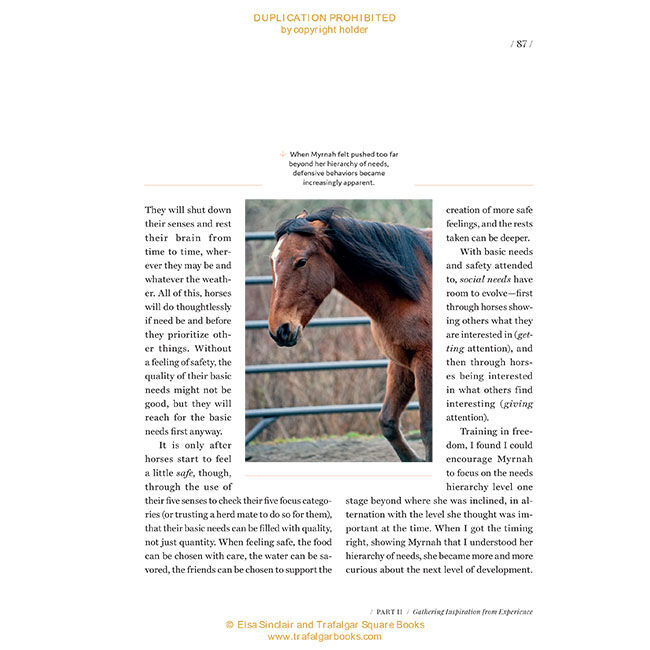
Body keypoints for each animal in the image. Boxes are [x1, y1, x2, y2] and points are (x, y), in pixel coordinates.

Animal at [267, 207, 432, 462]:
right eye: (273, 261)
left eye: (301, 261)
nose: (279, 330)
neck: (416, 287)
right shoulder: (401, 362)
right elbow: (387, 422)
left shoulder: (425, 361)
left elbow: (428, 430)